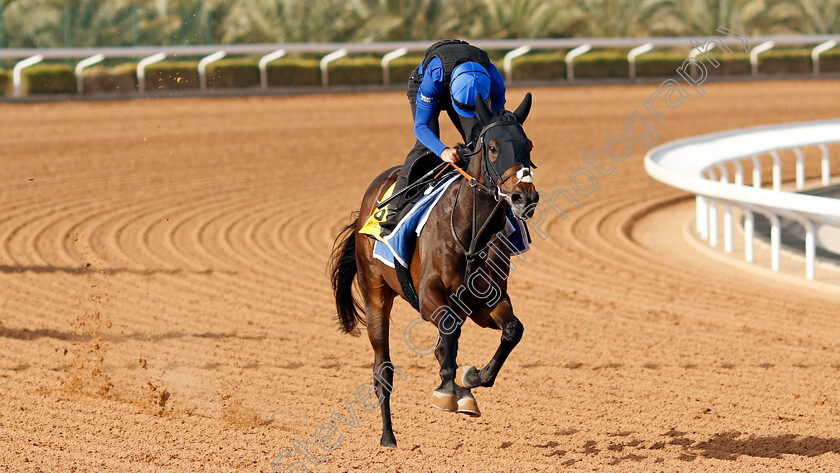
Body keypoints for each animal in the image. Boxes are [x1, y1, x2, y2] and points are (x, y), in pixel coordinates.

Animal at [328, 91, 540, 446]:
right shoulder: (428, 296)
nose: (525, 197)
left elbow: (512, 330)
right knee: (382, 369)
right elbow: (449, 333)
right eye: (493, 147)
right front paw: (447, 390)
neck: (471, 235)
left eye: (529, 145)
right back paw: (388, 437)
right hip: (375, 294)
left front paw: (472, 378)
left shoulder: (485, 303)